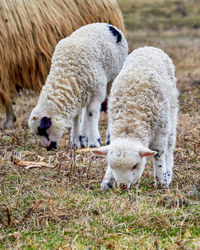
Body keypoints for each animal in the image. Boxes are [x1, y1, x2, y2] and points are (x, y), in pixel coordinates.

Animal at [93, 46, 179, 189]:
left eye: (135, 166)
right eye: (112, 166)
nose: (122, 186)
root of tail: (149, 47)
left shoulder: (161, 128)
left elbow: (159, 153)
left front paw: (161, 181)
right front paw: (107, 182)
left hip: (172, 111)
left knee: (170, 145)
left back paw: (168, 174)